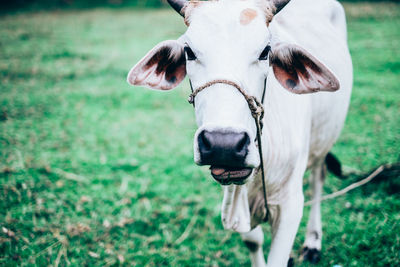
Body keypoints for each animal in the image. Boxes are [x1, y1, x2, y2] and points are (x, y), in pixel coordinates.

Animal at [126, 0, 352, 266]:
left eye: (265, 51)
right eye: (189, 52)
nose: (223, 143)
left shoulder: (290, 204)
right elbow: (253, 241)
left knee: (318, 178)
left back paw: (313, 242)